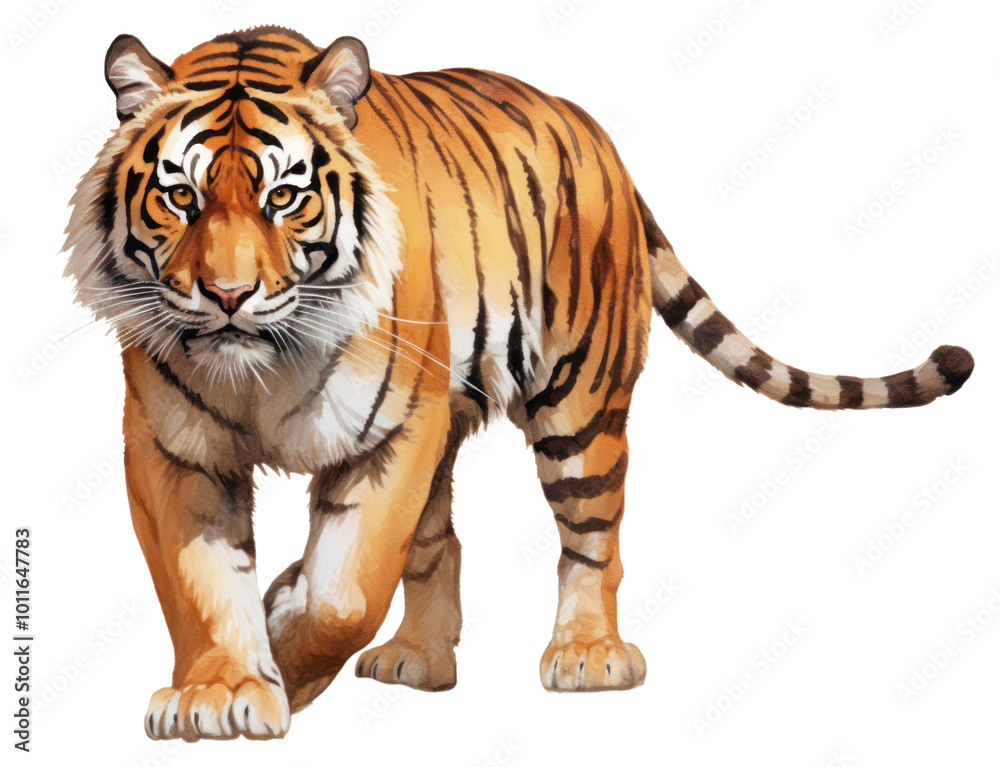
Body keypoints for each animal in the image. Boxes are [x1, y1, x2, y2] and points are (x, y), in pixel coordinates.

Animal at [63, 26, 974, 741]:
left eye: (285, 197)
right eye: (180, 197)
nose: (227, 295)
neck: (261, 362)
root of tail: (596, 133)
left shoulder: (395, 430)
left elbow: (345, 593)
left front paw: (284, 647)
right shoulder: (174, 446)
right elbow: (203, 584)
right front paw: (219, 691)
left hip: (579, 400)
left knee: (593, 534)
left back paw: (589, 655)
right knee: (439, 539)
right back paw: (419, 661)